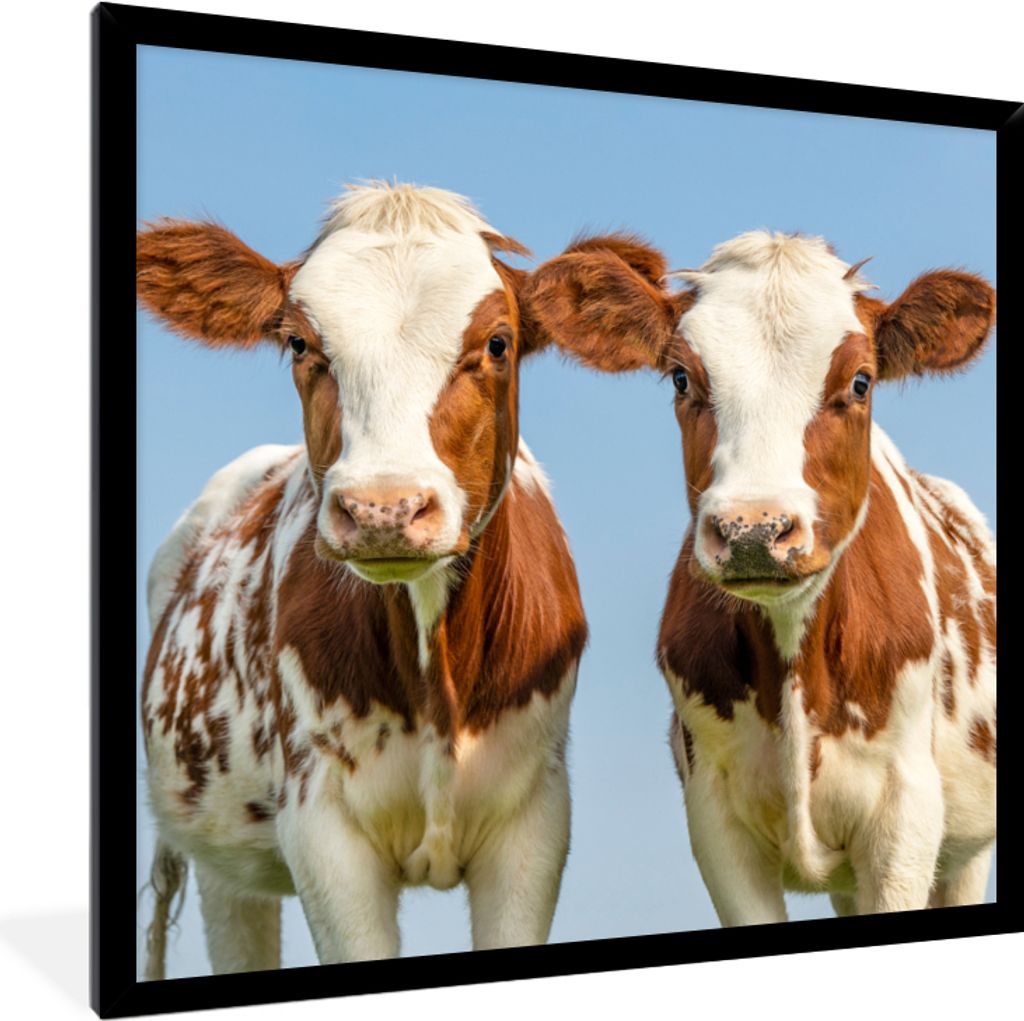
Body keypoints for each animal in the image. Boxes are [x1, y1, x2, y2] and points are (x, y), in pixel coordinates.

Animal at [135, 183, 649, 975]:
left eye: (497, 343)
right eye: (299, 343)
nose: (384, 508)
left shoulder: (535, 823)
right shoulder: (323, 832)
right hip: (222, 855)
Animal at [521, 229, 996, 922]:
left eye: (860, 381)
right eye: (682, 376)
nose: (754, 529)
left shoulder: (904, 816)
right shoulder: (716, 820)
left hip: (965, 850)